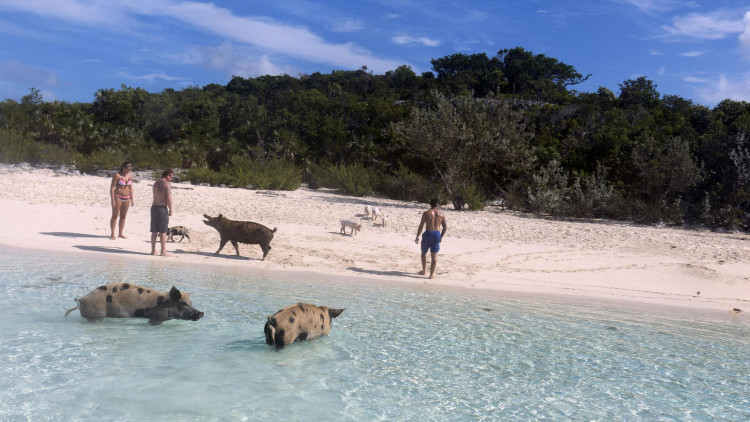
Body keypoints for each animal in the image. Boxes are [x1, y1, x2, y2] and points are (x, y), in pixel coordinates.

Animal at [65, 284, 204, 326]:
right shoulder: (157, 317)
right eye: (183, 303)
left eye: (191, 303)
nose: (201, 313)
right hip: (96, 314)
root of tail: (81, 299)